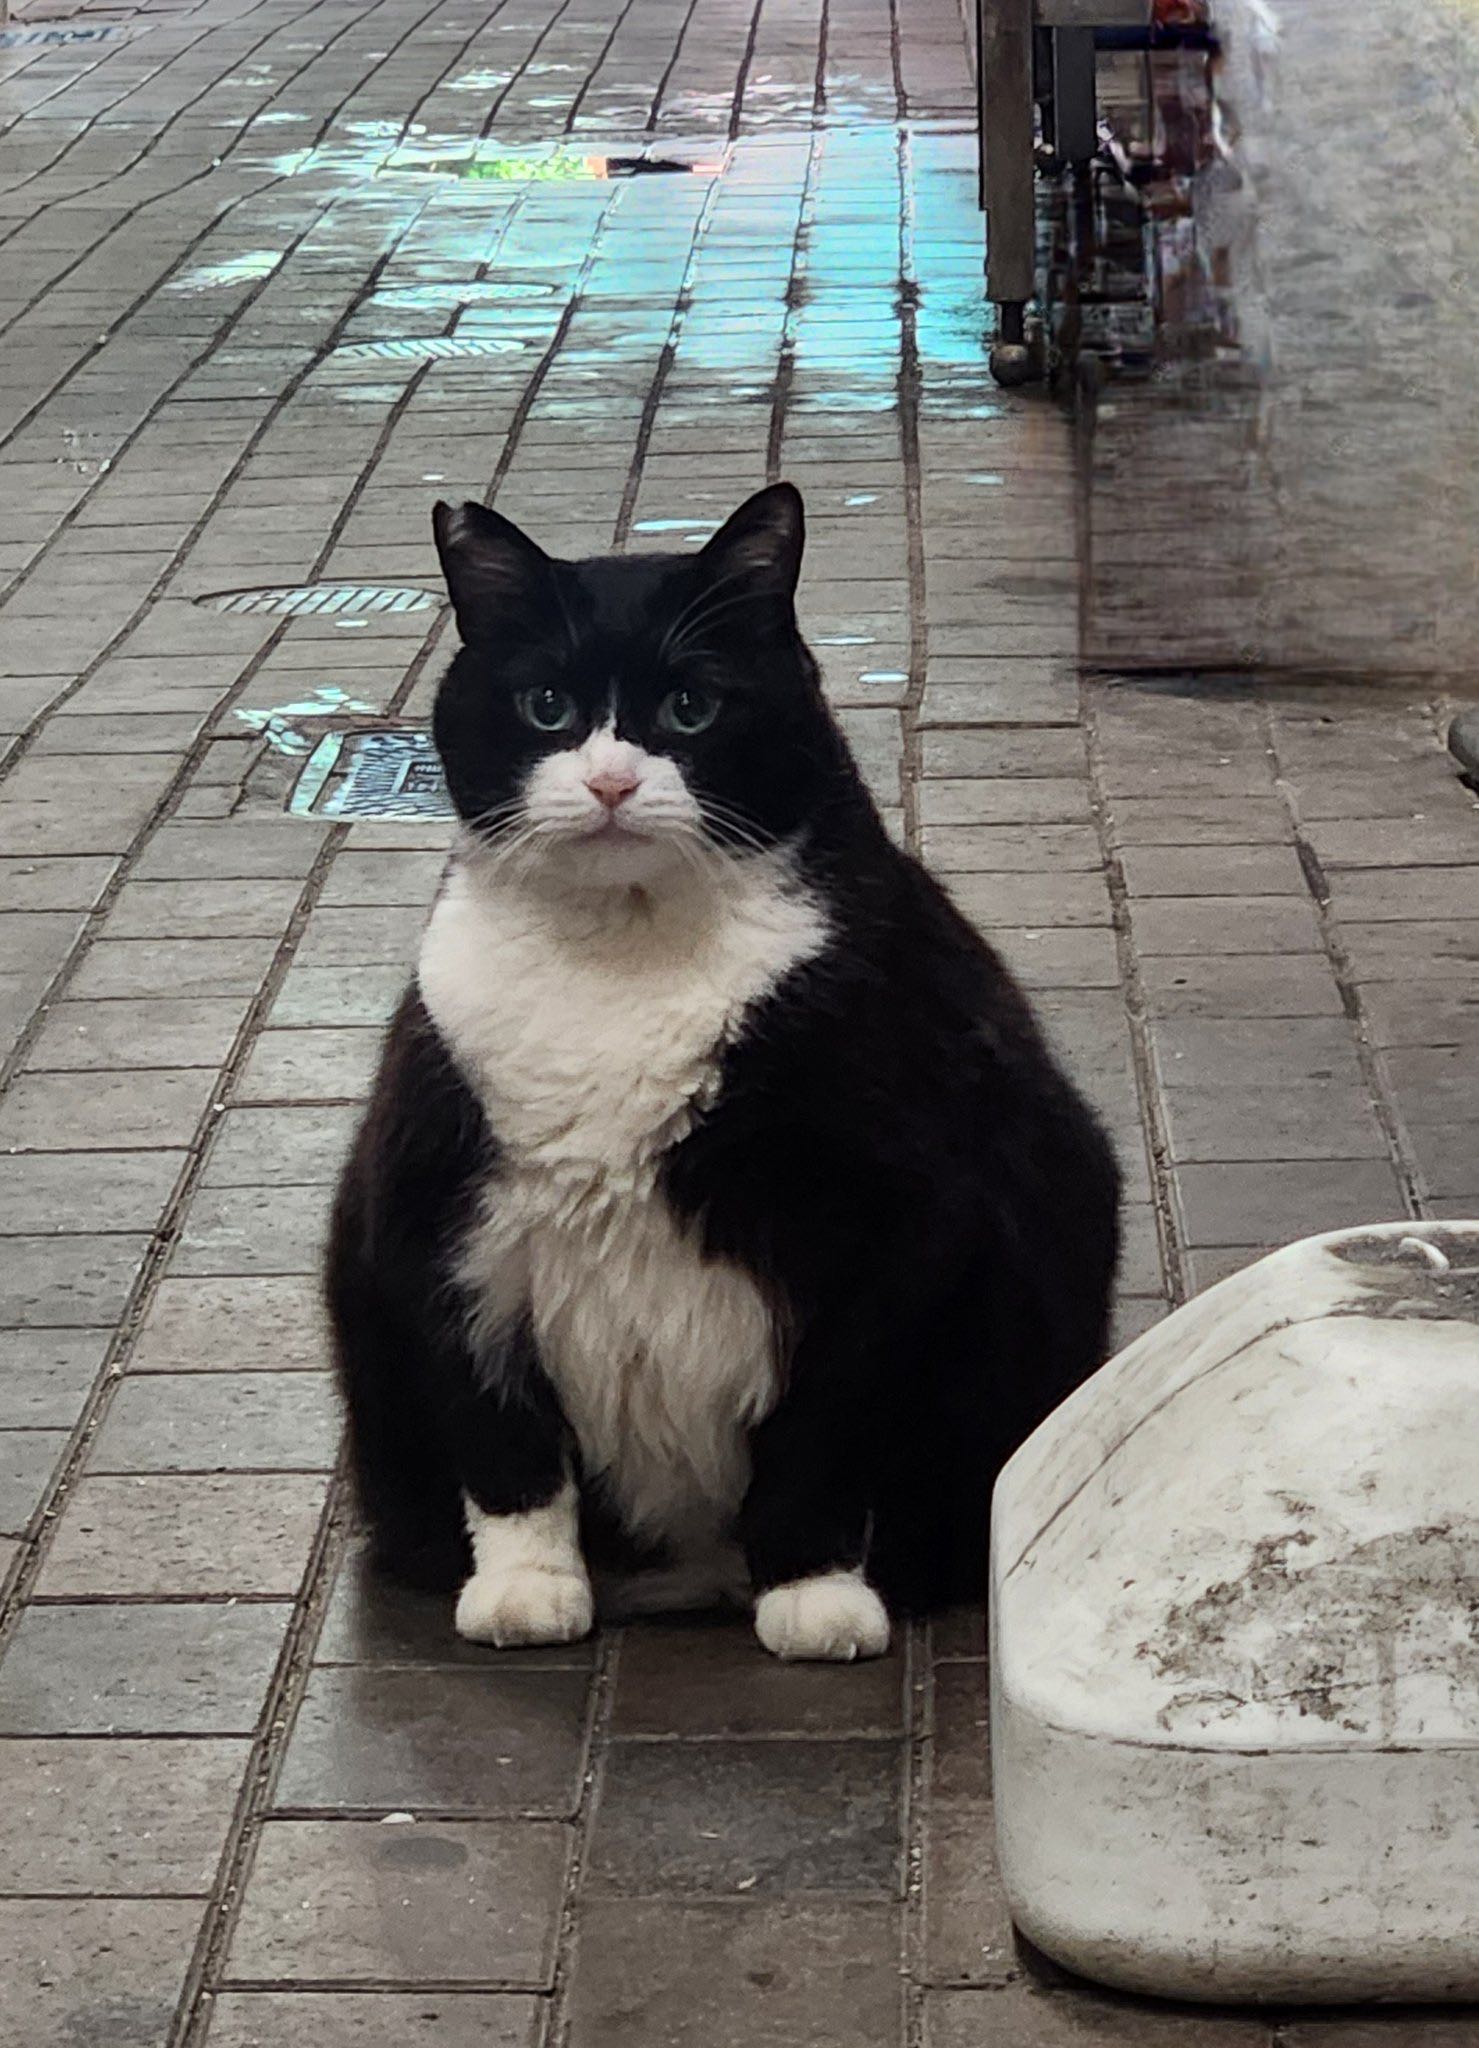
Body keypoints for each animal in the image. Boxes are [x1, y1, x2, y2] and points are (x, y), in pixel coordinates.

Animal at [326, 482, 1120, 1662]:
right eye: (546, 706)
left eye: (692, 707)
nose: (612, 780)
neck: (623, 957)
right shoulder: (437, 1215)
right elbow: (500, 1431)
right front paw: (524, 1587)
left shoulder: (891, 1223)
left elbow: (820, 1427)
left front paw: (814, 1595)